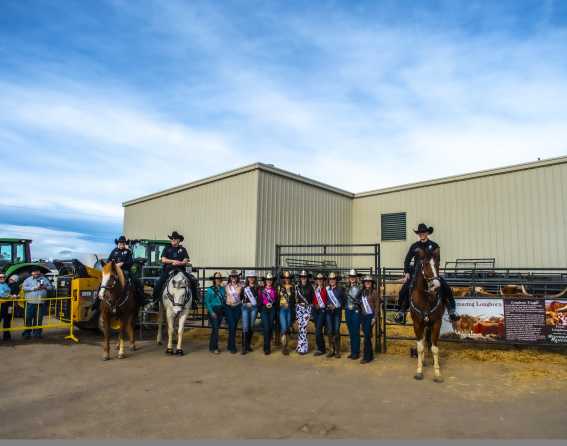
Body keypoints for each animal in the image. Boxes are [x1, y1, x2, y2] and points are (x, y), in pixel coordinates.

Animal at [410, 247, 446, 384]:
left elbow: (435, 348)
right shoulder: (417, 324)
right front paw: (419, 371)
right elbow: (420, 347)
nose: (436, 286)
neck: (425, 298)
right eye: (425, 264)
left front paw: (437, 373)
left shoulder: (436, 323)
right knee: (424, 340)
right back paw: (423, 360)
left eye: (437, 264)